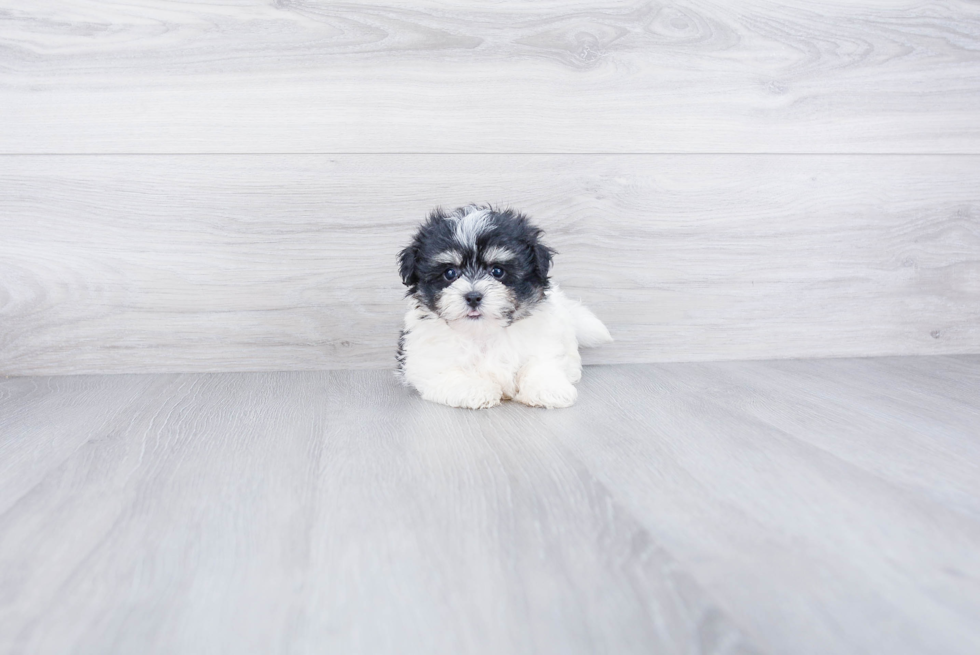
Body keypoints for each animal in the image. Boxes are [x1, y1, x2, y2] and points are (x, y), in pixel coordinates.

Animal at [394, 205, 608, 410]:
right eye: (450, 273)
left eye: (497, 271)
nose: (473, 297)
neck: (483, 333)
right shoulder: (427, 360)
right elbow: (449, 374)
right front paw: (475, 389)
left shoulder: (544, 341)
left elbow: (540, 364)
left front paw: (548, 389)